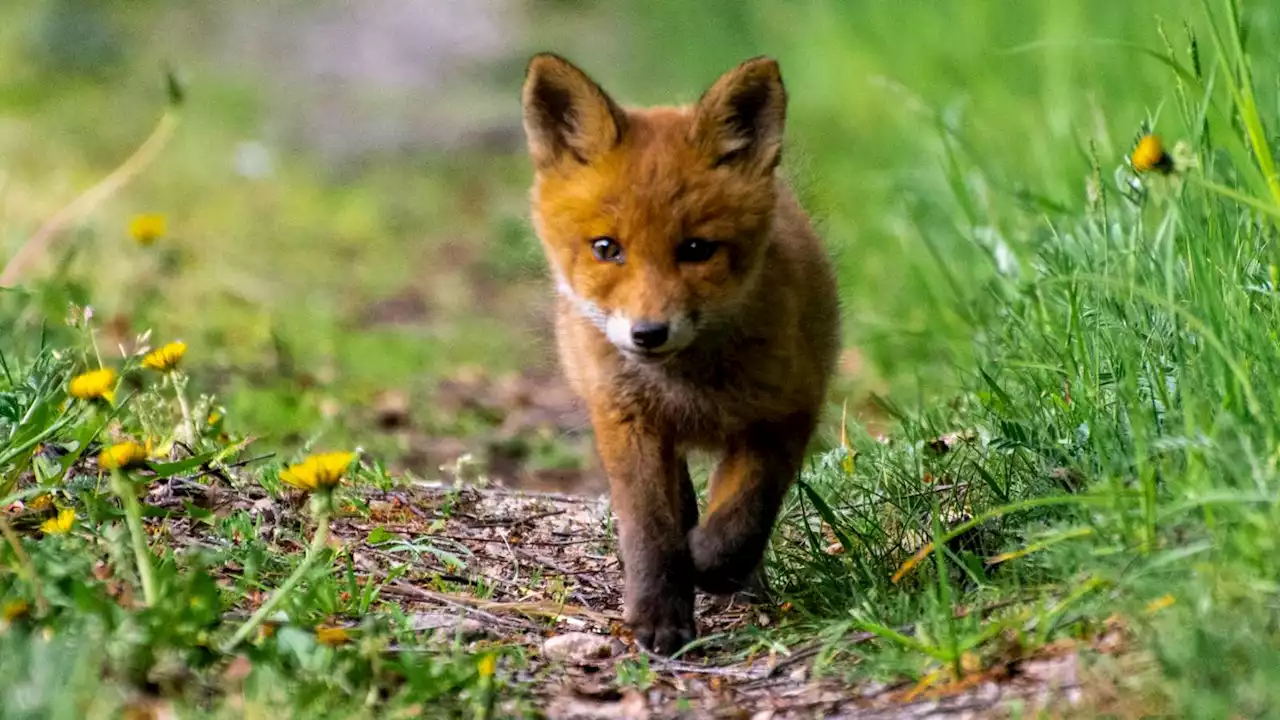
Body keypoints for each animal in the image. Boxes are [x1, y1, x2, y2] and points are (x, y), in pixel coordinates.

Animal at [519, 53, 839, 653]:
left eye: (696, 249)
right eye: (606, 249)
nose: (648, 333)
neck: (689, 387)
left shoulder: (784, 413)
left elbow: (742, 517)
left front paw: (712, 566)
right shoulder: (627, 420)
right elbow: (651, 529)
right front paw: (659, 615)